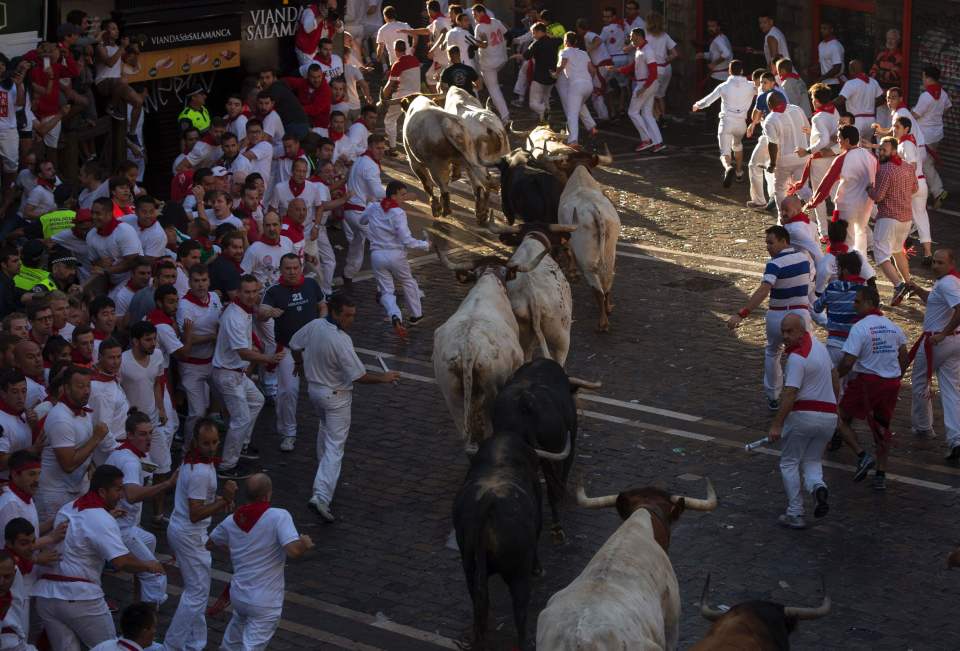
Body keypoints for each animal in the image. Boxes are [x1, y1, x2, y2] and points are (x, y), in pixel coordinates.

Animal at [556, 166, 624, 334]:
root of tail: (594, 210)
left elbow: (569, 251)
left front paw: (572, 272)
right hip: (609, 251)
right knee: (607, 281)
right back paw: (608, 309)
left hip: (586, 257)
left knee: (597, 288)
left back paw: (603, 324)